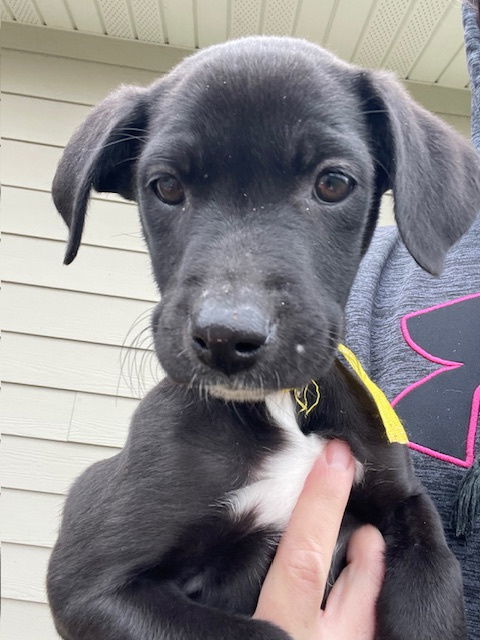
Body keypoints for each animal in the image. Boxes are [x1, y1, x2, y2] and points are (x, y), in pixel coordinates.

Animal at [46, 37, 480, 636]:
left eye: (333, 183)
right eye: (166, 187)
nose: (226, 337)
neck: (280, 407)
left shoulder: (410, 518)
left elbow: (432, 604)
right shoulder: (87, 580)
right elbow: (264, 630)